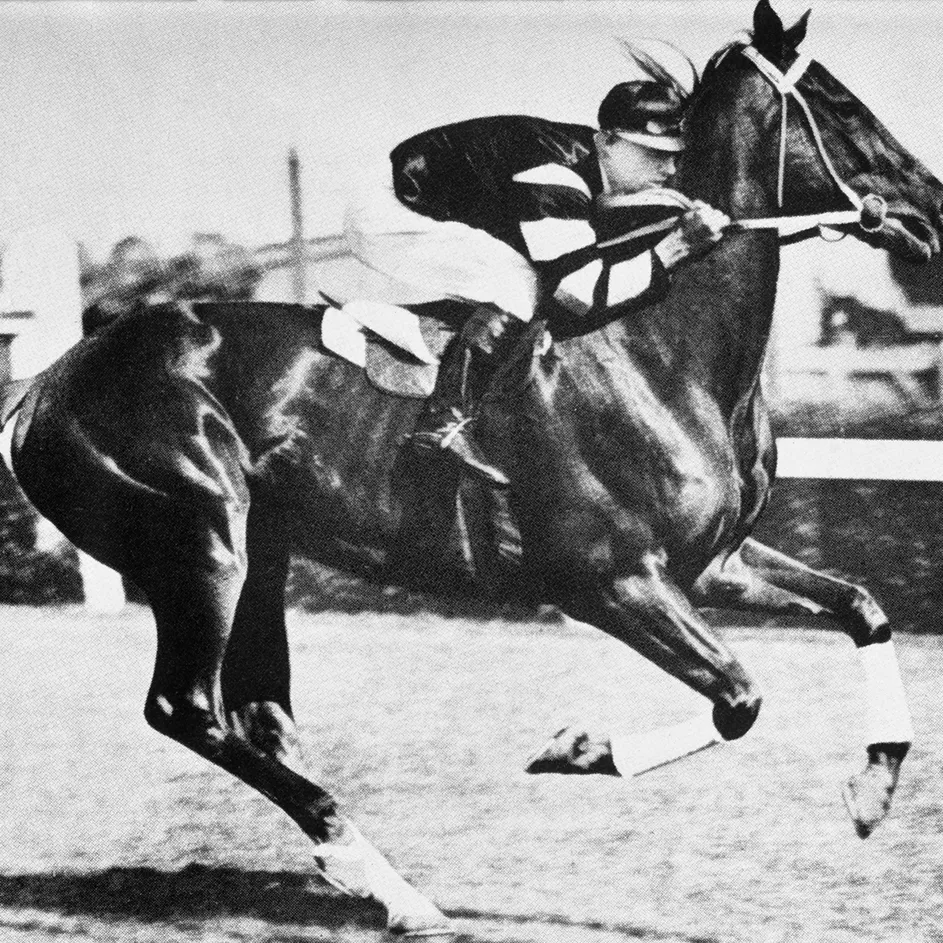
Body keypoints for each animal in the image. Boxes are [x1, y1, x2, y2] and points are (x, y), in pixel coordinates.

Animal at [1, 1, 943, 936]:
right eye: (843, 107)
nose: (931, 212)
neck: (664, 349)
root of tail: (46, 382)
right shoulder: (610, 581)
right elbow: (740, 698)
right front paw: (579, 748)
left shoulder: (714, 562)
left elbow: (860, 607)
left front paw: (873, 786)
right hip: (198, 542)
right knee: (188, 710)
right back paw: (389, 882)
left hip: (258, 551)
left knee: (260, 716)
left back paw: (375, 878)